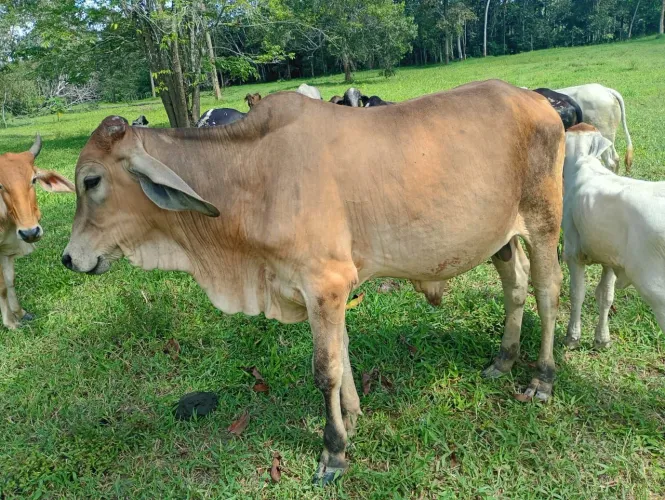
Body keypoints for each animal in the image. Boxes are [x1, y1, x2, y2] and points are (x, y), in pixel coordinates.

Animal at [0, 135, 74, 328]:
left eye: (33, 179)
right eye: (0, 186)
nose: (30, 232)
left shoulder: (6, 248)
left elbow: (10, 280)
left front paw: (19, 312)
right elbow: (1, 286)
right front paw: (10, 322)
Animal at [61, 80, 564, 485]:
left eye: (91, 181)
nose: (68, 258)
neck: (251, 177)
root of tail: (534, 98)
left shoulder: (326, 283)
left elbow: (326, 370)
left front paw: (334, 452)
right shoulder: (319, 291)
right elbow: (342, 351)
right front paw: (354, 417)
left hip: (544, 220)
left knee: (546, 290)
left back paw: (542, 378)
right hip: (499, 238)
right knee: (515, 285)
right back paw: (503, 359)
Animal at [562, 123, 665, 349]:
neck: (584, 163)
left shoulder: (573, 252)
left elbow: (577, 294)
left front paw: (572, 337)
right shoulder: (610, 258)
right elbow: (605, 296)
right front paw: (602, 339)